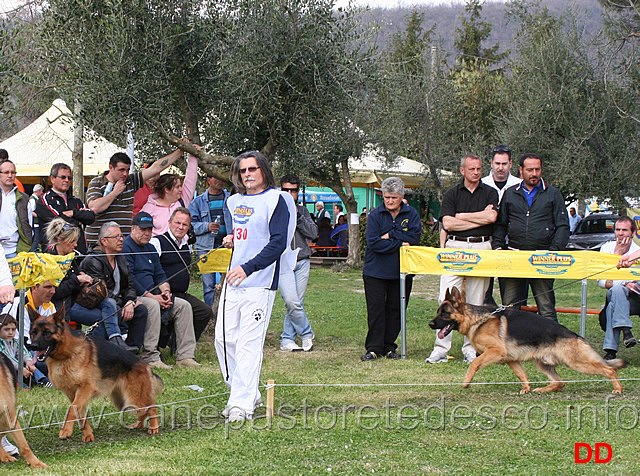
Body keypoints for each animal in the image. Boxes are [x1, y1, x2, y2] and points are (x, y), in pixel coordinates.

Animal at [27, 304, 164, 442]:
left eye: (47, 332)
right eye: (34, 332)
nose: (32, 346)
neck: (67, 355)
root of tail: (145, 365)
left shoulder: (86, 388)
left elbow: (72, 409)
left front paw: (66, 430)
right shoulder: (74, 394)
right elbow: (80, 413)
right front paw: (88, 435)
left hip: (133, 397)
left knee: (151, 407)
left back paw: (154, 427)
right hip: (122, 402)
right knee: (143, 410)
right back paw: (139, 424)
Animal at [430, 286, 624, 394]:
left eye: (444, 313)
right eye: (438, 312)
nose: (430, 324)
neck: (476, 319)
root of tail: (576, 335)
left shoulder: (495, 351)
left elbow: (474, 363)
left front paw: (466, 382)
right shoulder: (511, 359)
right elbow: (522, 374)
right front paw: (527, 388)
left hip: (577, 363)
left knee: (608, 370)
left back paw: (618, 389)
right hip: (542, 363)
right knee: (559, 382)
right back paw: (541, 390)